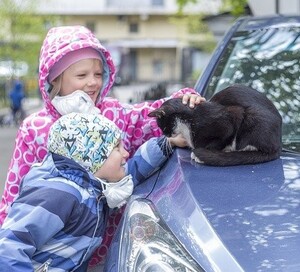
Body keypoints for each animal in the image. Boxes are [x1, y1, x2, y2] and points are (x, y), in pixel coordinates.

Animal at [149, 84, 282, 166]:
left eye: (161, 126)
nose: (166, 135)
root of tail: (278, 146)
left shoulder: (231, 118)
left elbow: (219, 140)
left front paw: (200, 154)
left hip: (253, 119)